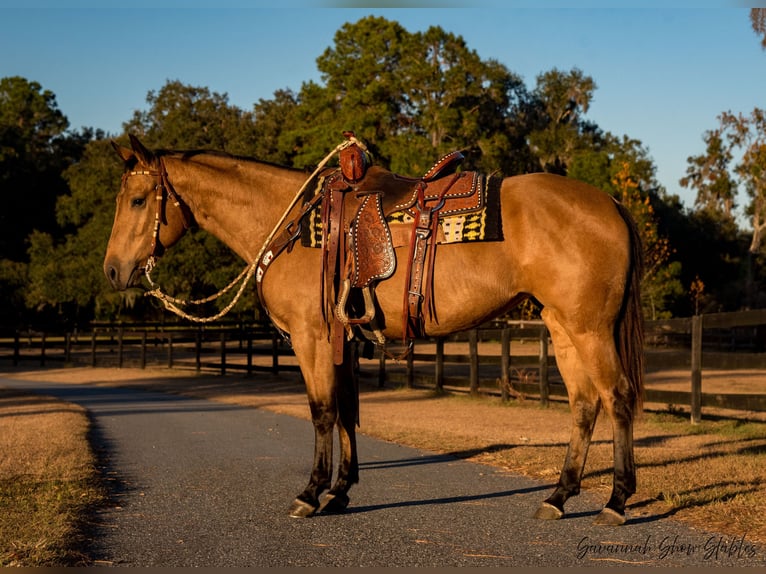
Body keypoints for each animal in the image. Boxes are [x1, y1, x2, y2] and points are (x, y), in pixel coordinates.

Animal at [100, 135, 640, 528]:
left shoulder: (312, 339)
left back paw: (615, 502)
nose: (112, 271)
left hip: (590, 329)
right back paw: (558, 496)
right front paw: (339, 492)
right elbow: (346, 413)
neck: (291, 225)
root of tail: (611, 202)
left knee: (617, 398)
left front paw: (310, 493)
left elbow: (321, 413)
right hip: (562, 327)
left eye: (138, 200)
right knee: (584, 404)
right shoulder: (343, 342)